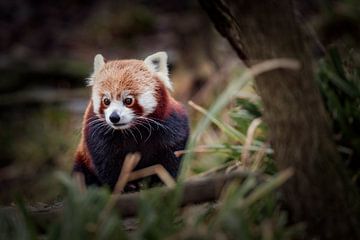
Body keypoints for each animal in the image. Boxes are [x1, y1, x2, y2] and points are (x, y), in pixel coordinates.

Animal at [74, 51, 191, 189]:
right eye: (106, 101)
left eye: (128, 100)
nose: (114, 117)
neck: (132, 130)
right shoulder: (96, 132)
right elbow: (106, 162)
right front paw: (123, 186)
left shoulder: (171, 124)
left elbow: (172, 153)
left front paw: (162, 181)